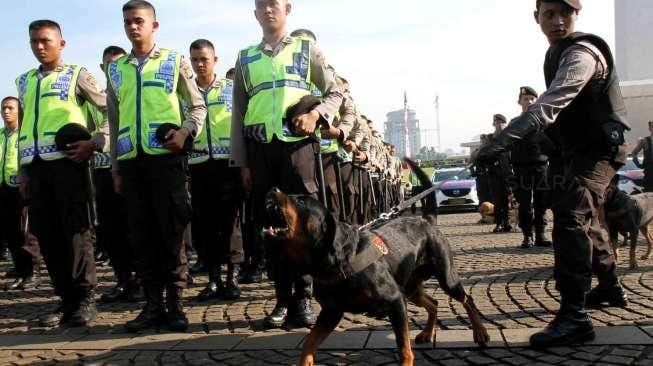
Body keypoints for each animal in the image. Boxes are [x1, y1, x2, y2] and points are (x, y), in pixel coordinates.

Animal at [262, 159, 486, 364]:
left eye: (300, 202)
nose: (272, 189)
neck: (337, 261)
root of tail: (427, 221)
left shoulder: (396, 302)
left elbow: (403, 347)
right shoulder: (331, 313)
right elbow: (309, 343)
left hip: (445, 278)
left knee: (466, 299)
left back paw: (480, 332)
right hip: (410, 288)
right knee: (434, 302)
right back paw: (426, 334)